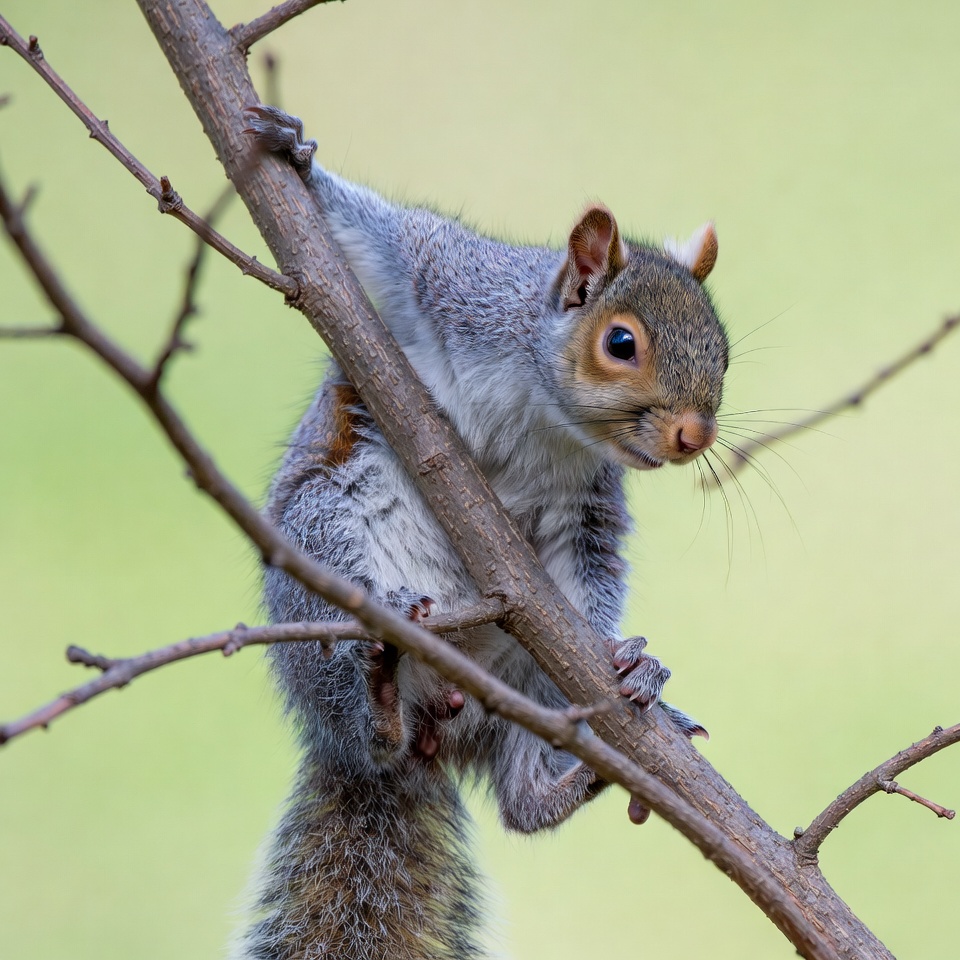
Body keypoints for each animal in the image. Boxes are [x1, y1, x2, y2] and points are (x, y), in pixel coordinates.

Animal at [236, 105, 729, 960]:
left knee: (520, 804)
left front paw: (628, 663)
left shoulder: (587, 502)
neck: (542, 408)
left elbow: (590, 578)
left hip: (533, 684)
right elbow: (384, 235)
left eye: (725, 355)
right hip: (323, 560)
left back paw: (583, 773)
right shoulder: (449, 284)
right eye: (621, 342)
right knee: (370, 732)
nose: (694, 436)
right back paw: (380, 704)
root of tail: (436, 725)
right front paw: (296, 156)